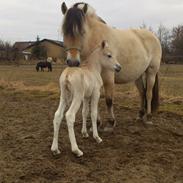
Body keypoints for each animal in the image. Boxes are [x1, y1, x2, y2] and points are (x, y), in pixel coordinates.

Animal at [60, 1, 162, 130]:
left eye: (82, 32)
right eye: (64, 32)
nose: (73, 62)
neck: (95, 42)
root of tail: (154, 37)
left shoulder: (108, 77)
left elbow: (109, 100)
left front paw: (110, 122)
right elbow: (93, 101)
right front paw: (97, 123)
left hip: (151, 72)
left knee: (148, 93)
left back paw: (148, 117)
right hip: (138, 75)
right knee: (142, 93)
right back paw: (140, 115)